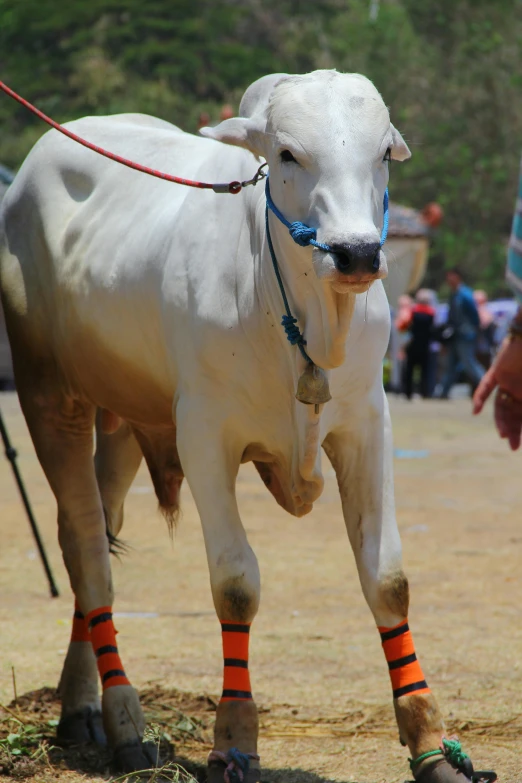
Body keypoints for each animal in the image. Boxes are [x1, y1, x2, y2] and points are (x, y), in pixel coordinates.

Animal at [0, 70, 480, 780]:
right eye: (286, 154)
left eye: (382, 156)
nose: (358, 253)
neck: (301, 319)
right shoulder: (205, 436)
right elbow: (235, 585)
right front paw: (233, 738)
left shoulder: (367, 424)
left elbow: (388, 579)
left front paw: (431, 743)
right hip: (49, 395)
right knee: (87, 553)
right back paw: (123, 719)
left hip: (120, 424)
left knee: (94, 535)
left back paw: (81, 707)